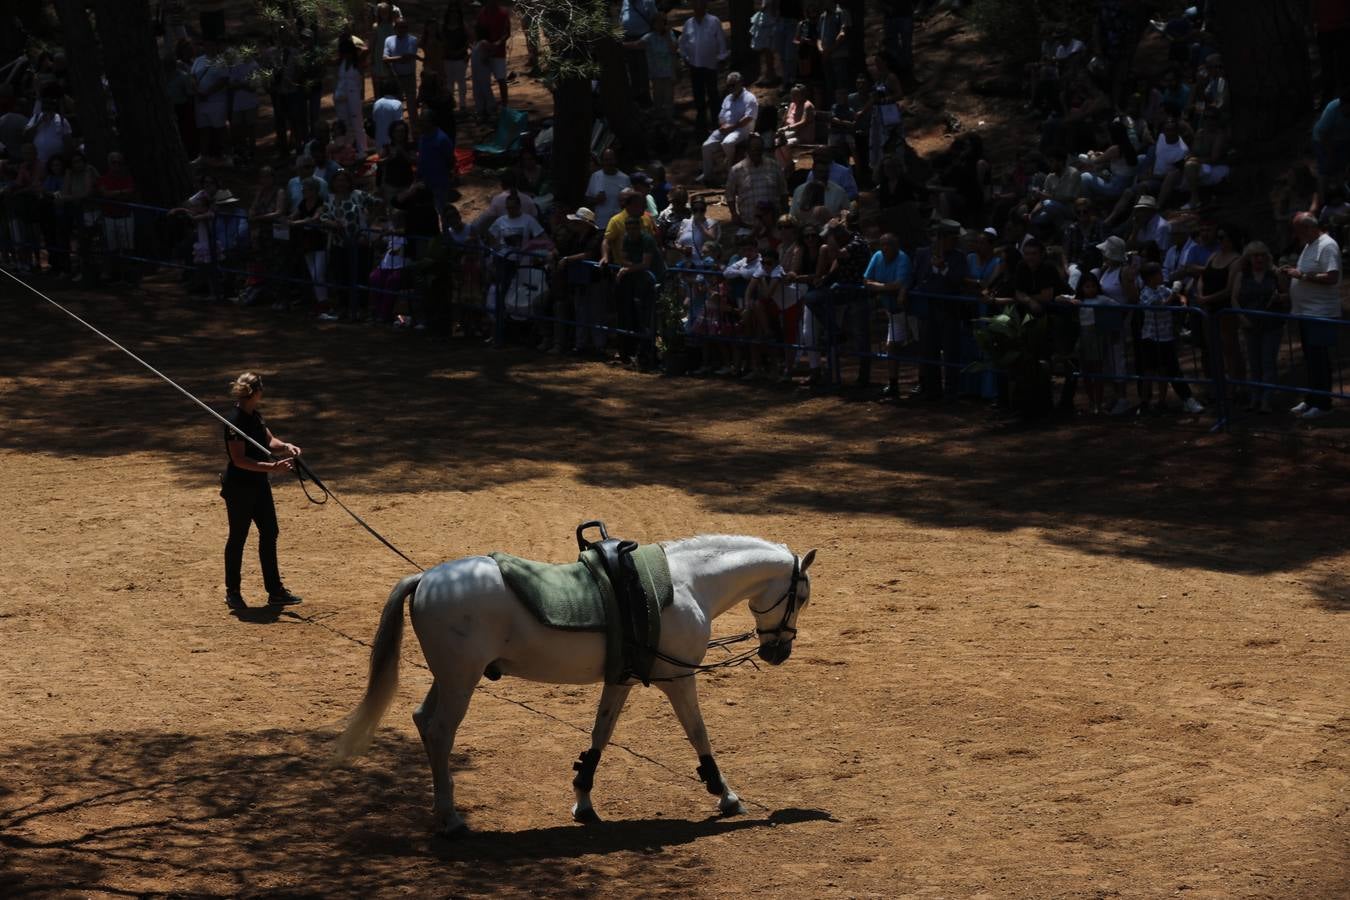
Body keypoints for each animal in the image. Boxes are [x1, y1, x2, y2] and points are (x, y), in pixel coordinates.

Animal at [332, 534, 815, 836]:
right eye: (803, 597)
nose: (778, 653)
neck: (687, 582)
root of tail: (427, 578)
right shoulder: (678, 680)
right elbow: (699, 734)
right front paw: (725, 794)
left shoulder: (621, 680)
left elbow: (601, 733)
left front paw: (583, 798)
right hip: (460, 681)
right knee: (438, 732)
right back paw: (450, 819)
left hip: (450, 678)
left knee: (422, 720)